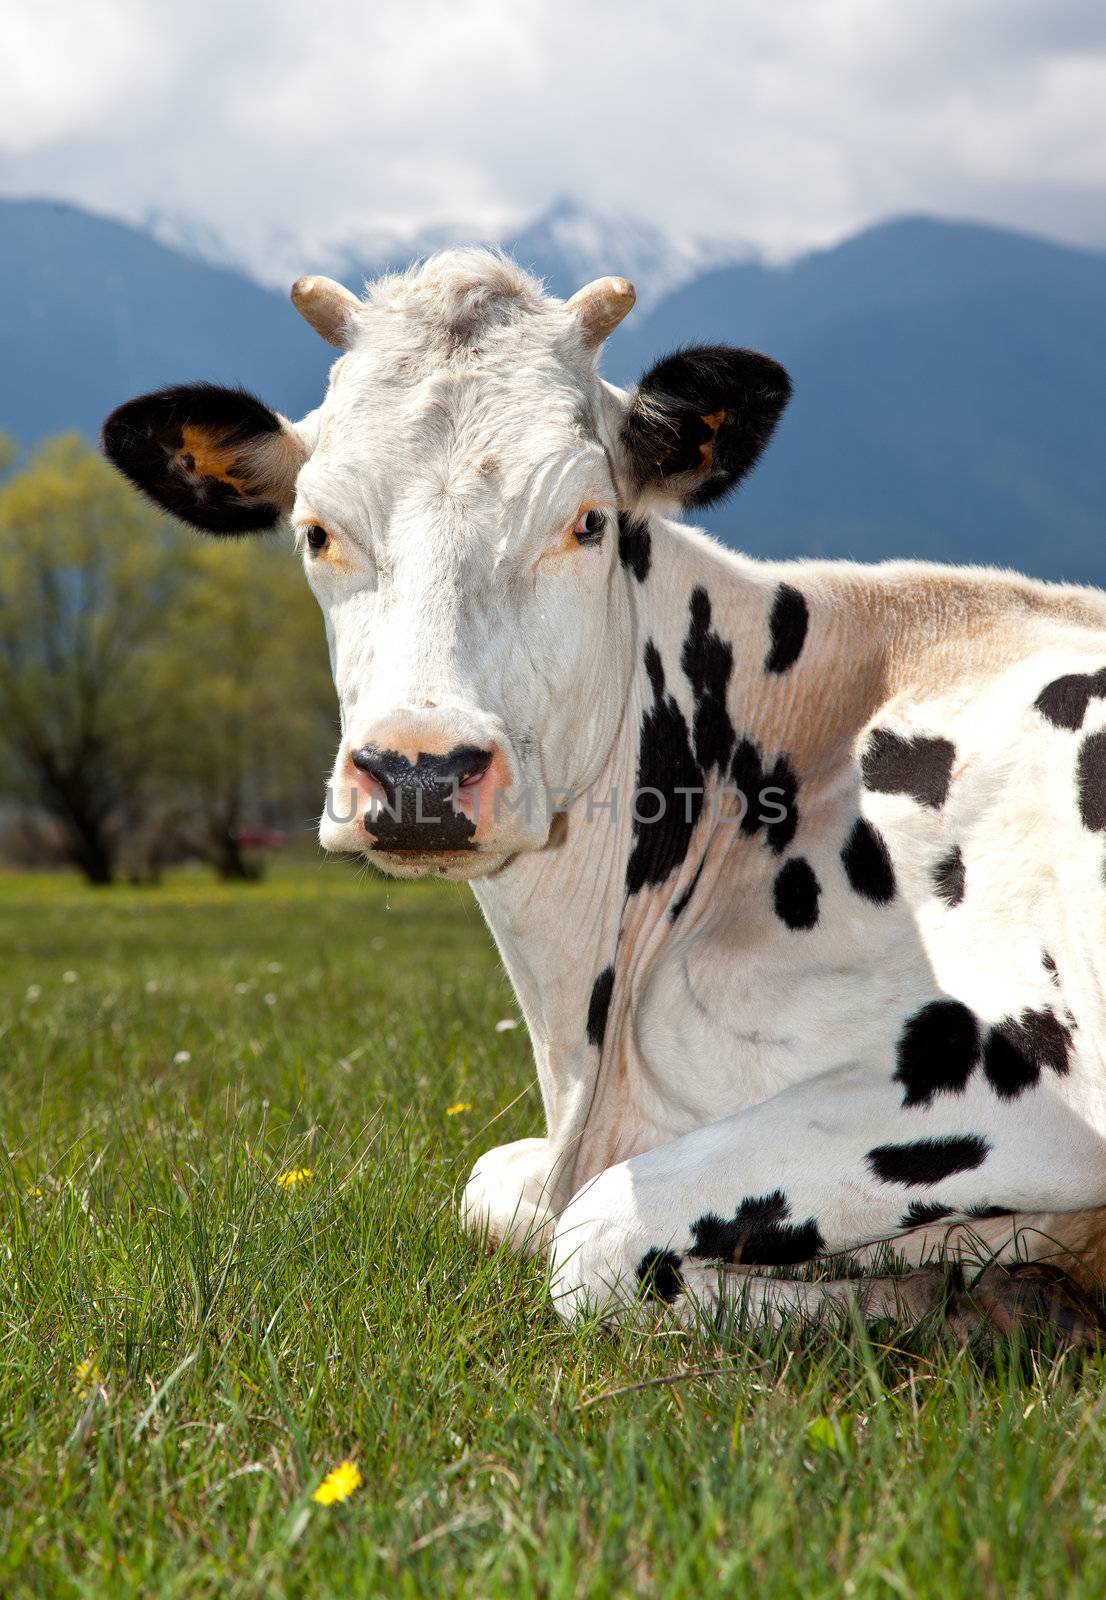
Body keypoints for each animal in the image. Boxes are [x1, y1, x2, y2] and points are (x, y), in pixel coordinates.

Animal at [105, 249, 1106, 1344]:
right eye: (316, 531)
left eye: (585, 522)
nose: (418, 772)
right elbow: (491, 1187)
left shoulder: (1022, 1087)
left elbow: (592, 1240)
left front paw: (965, 1296)